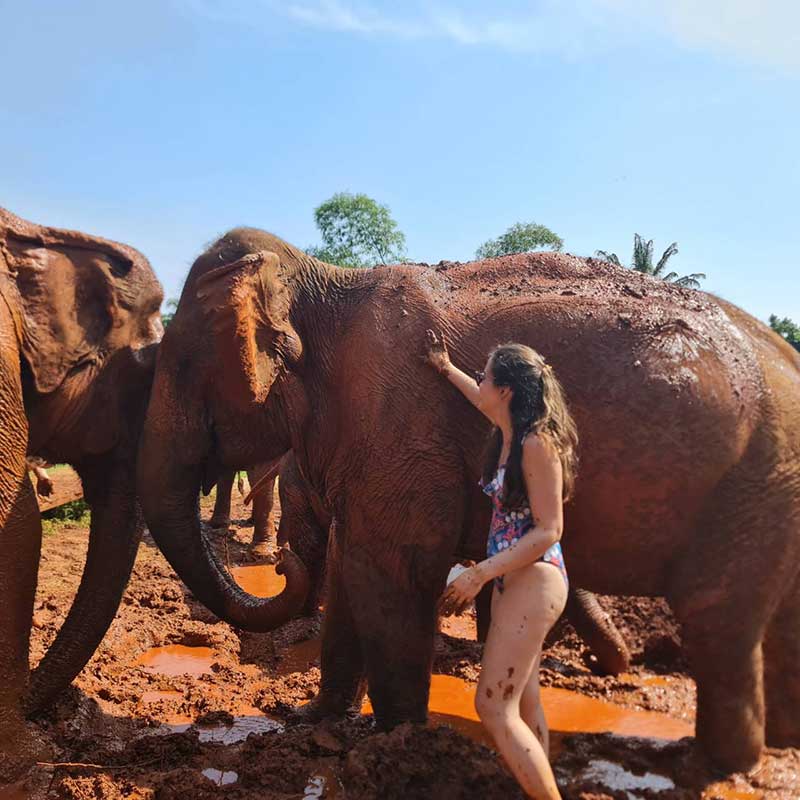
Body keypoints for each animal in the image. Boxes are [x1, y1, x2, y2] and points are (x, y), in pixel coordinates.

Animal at [138, 227, 800, 773]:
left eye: (181, 363)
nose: (279, 563)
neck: (325, 282)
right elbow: (356, 572)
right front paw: (316, 725)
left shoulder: (401, 426)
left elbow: (394, 573)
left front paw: (395, 744)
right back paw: (778, 745)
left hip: (755, 485)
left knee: (718, 617)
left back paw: (697, 766)